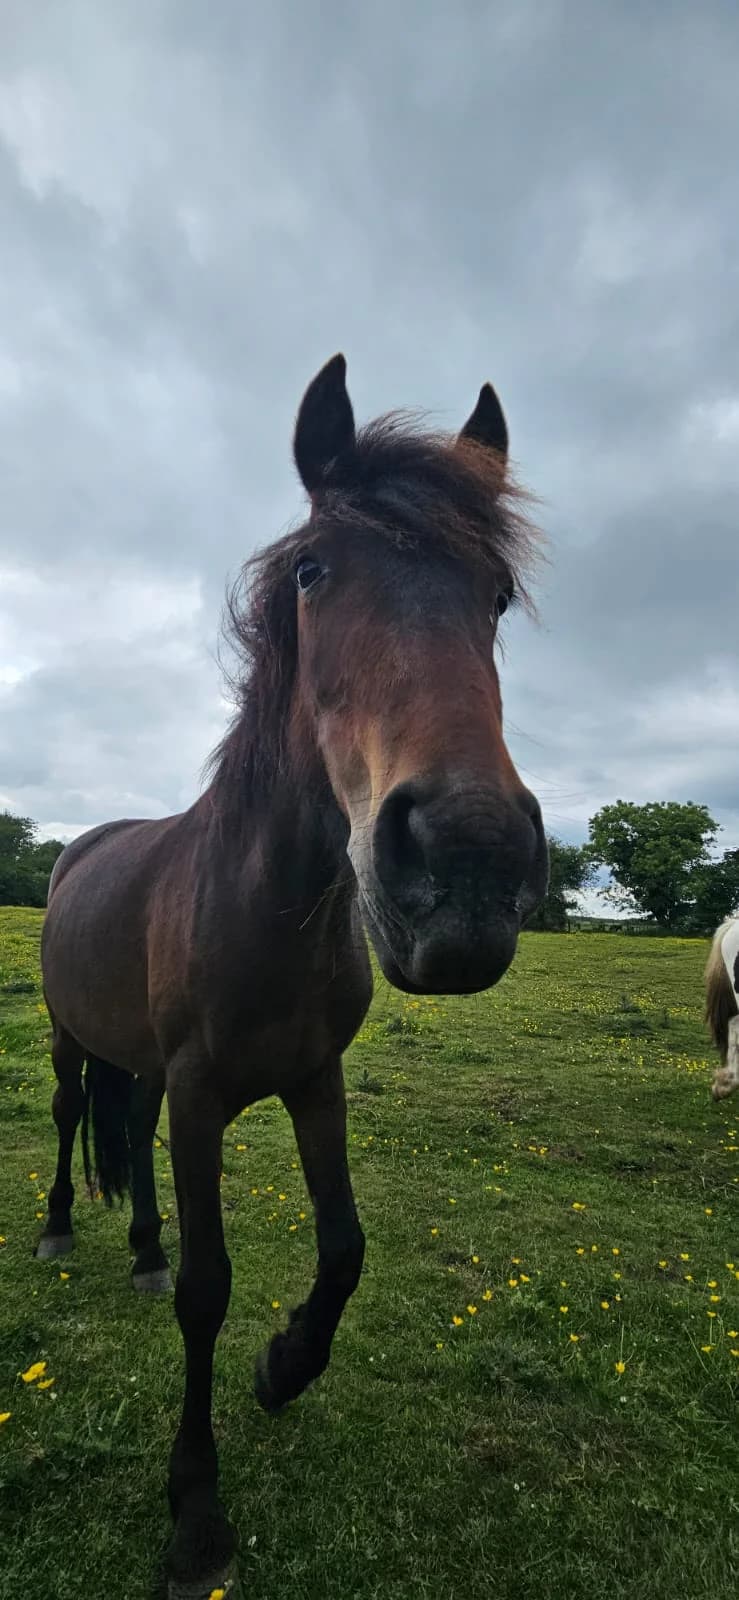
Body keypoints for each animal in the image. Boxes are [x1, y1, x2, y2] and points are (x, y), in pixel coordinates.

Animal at [39, 353, 548, 1599]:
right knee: (75, 1116)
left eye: (495, 594)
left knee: (129, 1139)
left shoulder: (314, 1083)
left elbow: (345, 1246)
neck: (264, 905)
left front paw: (281, 1366)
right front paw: (193, 1510)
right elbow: (206, 1290)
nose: (467, 862)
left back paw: (138, 1245)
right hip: (75, 1042)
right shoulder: (202, 1096)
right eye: (316, 570)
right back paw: (64, 1228)